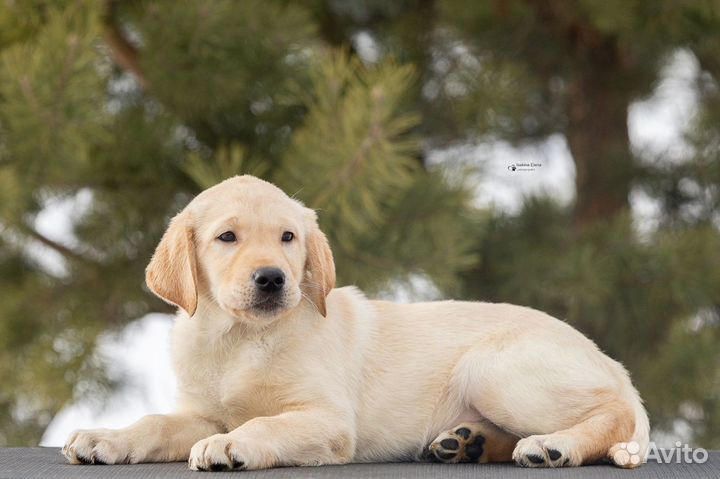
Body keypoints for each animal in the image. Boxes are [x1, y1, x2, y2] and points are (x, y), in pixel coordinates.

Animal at [62, 177, 648, 472]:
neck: (242, 339)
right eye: (227, 237)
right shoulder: (201, 412)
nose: (272, 279)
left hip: (494, 369)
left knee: (613, 414)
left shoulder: (327, 419)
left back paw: (553, 446)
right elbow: (155, 423)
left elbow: (264, 424)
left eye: (288, 238)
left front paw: (231, 447)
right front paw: (105, 437)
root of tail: (611, 362)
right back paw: (468, 444)